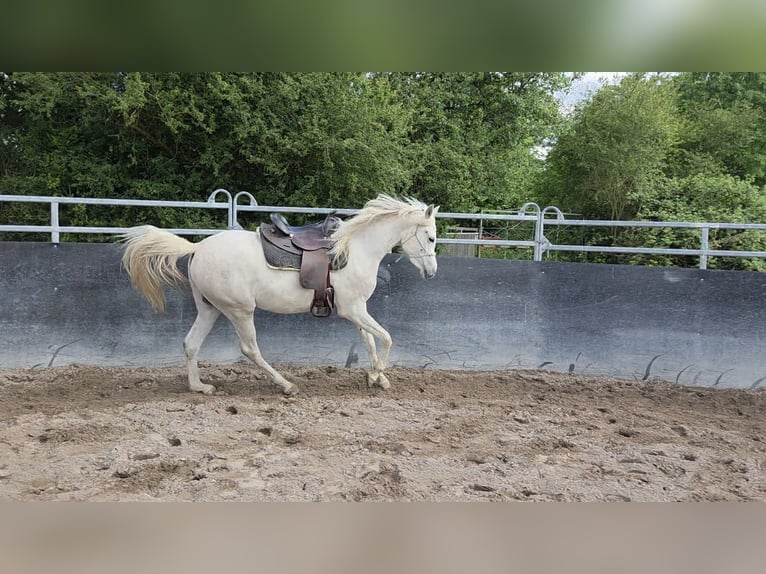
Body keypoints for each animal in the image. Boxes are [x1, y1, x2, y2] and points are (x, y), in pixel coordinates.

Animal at [120, 194, 439, 395]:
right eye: (431, 237)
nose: (432, 272)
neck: (355, 248)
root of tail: (197, 248)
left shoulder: (357, 310)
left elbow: (370, 341)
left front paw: (378, 378)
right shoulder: (353, 309)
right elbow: (386, 338)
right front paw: (377, 374)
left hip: (210, 309)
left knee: (191, 344)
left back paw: (200, 387)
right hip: (240, 311)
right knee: (250, 349)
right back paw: (286, 385)